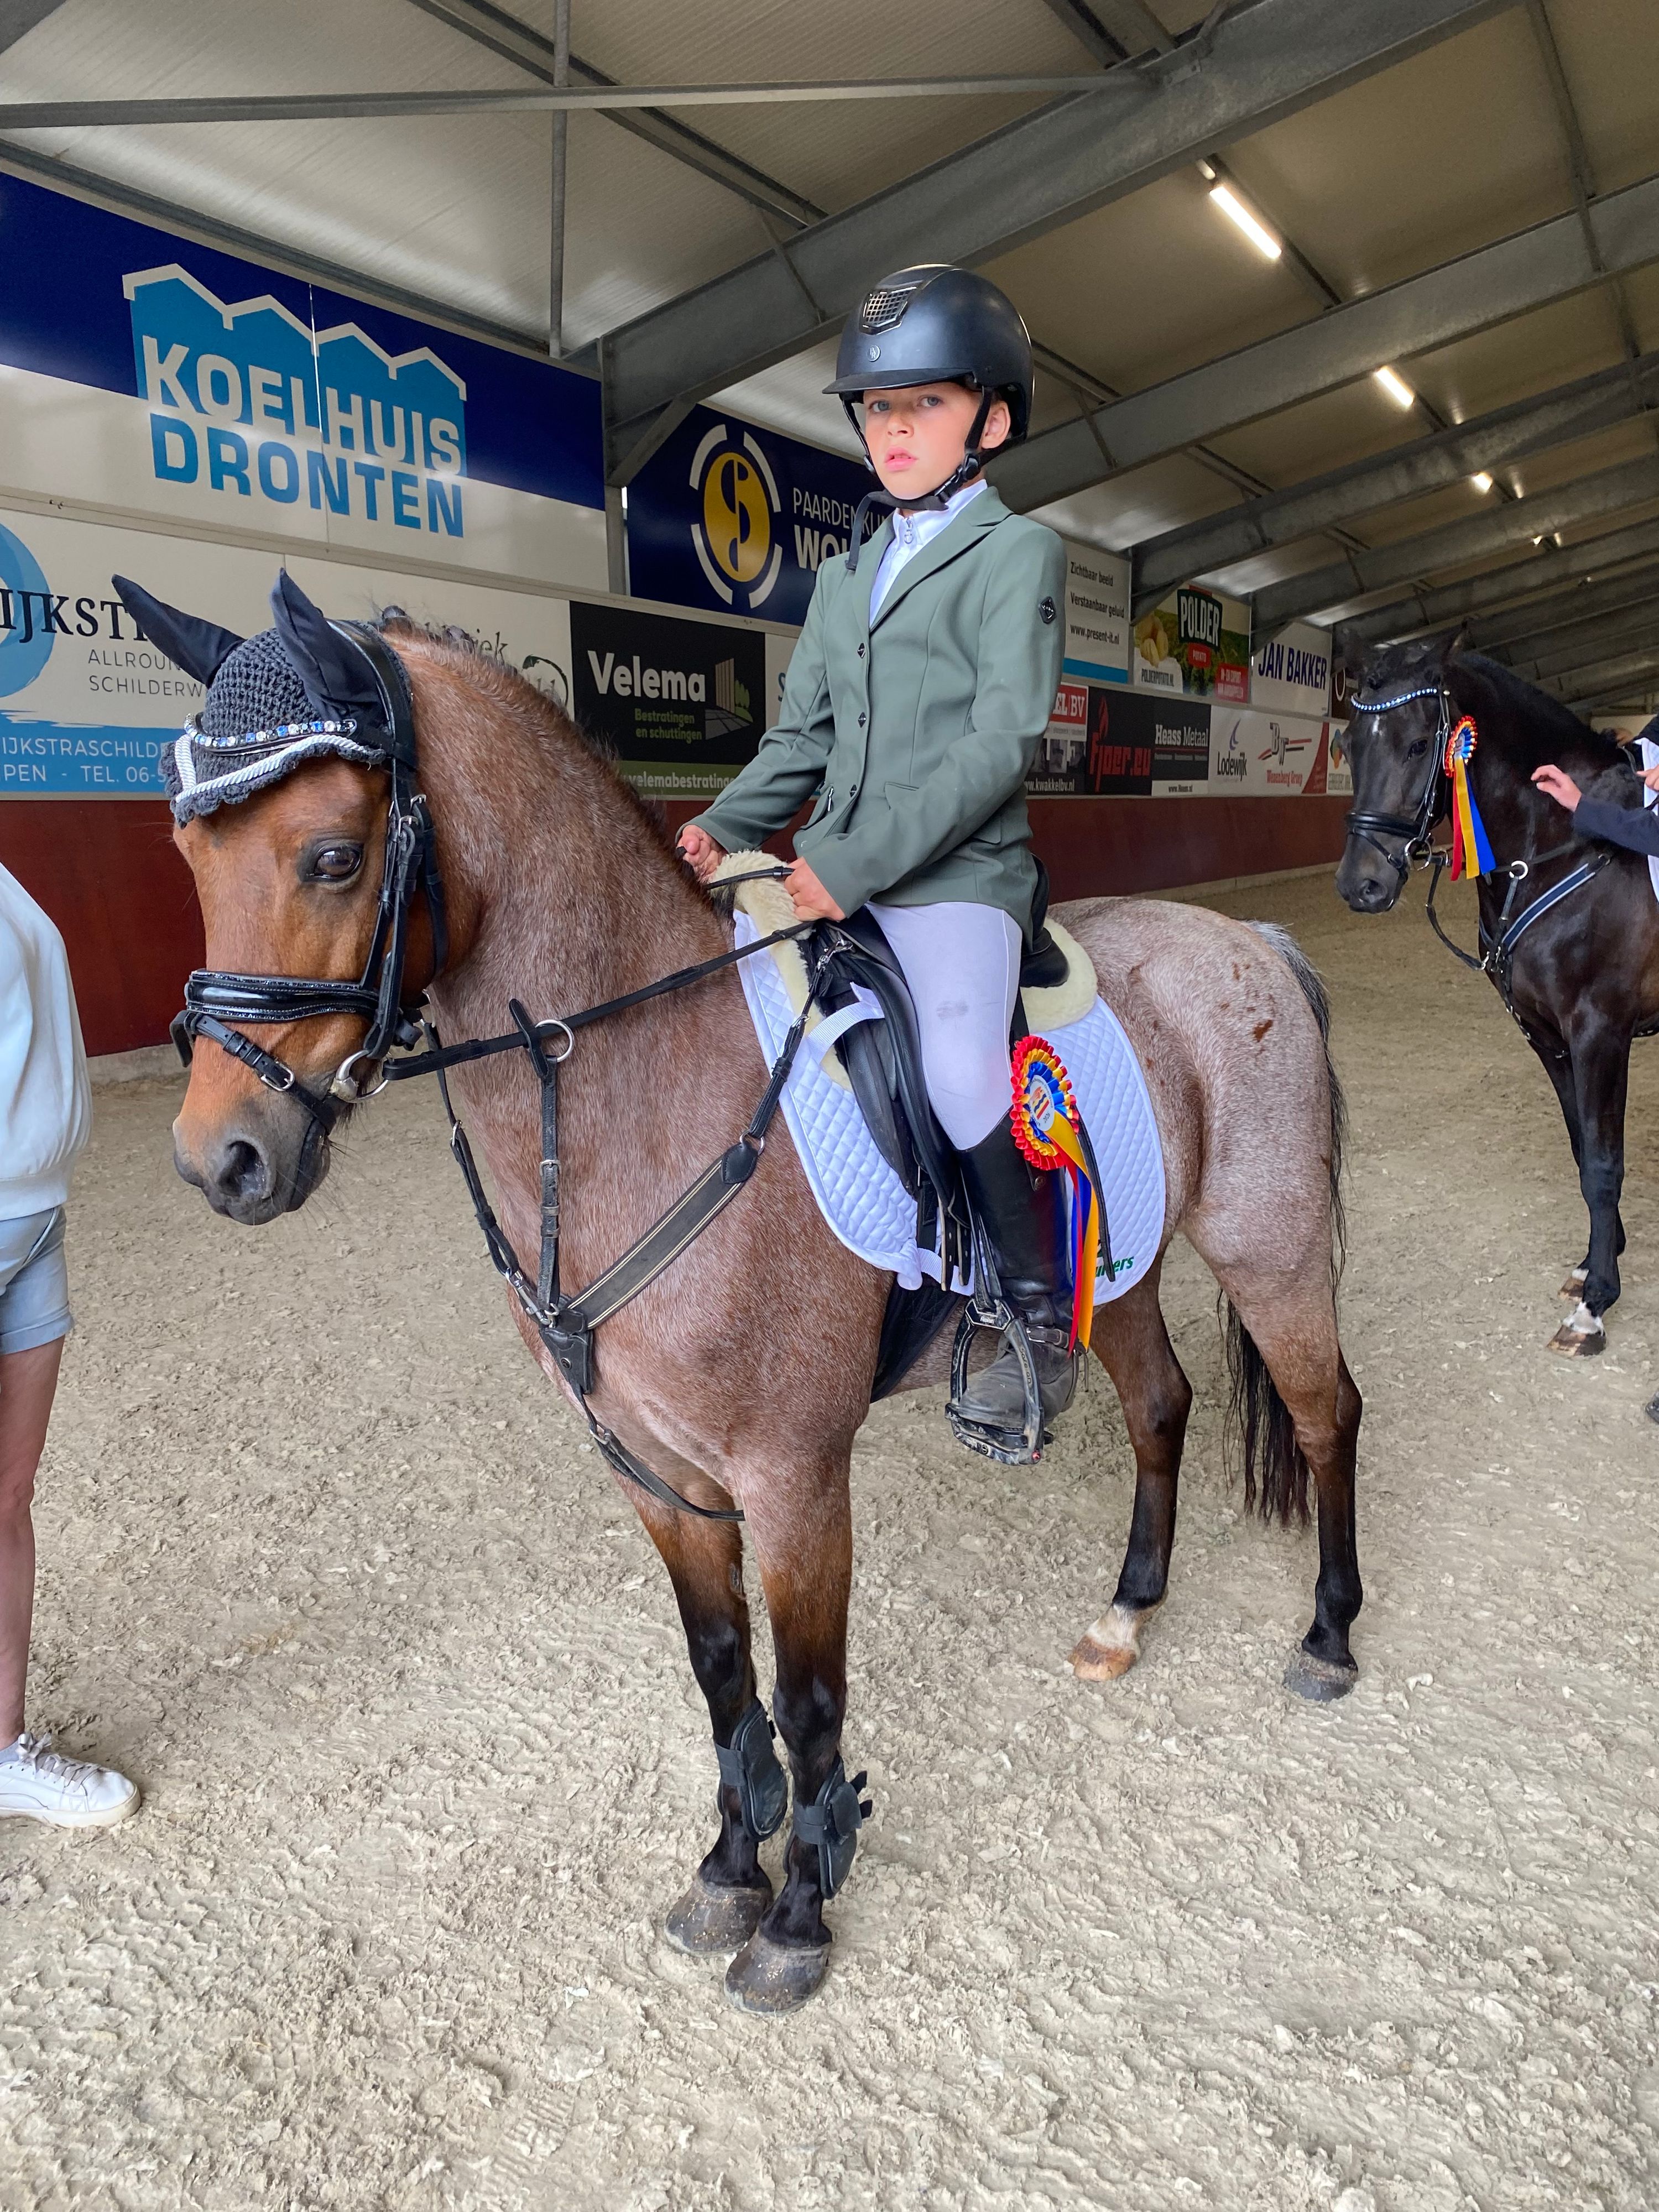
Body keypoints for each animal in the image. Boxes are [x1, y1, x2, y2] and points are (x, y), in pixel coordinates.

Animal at [167, 601, 1363, 2015]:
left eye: (334, 857)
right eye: (189, 853)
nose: (221, 1162)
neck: (642, 1088)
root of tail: (1247, 941)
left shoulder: (793, 1474)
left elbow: (807, 1700)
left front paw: (798, 1914)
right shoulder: (656, 1470)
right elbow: (721, 1675)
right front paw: (730, 1868)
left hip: (1267, 1243)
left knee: (1326, 1414)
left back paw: (1329, 1635)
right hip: (1111, 1270)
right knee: (1163, 1405)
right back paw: (1126, 1611)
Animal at [1335, 629, 1659, 1356]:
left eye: (1418, 744)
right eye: (1348, 742)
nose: (1361, 885)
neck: (1566, 846)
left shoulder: (1601, 1031)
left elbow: (1604, 1161)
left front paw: (1597, 1303)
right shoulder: (1546, 1034)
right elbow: (1582, 1147)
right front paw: (1596, 1260)